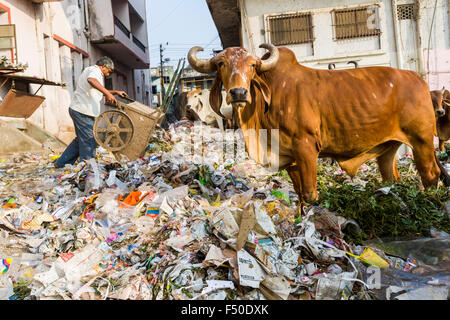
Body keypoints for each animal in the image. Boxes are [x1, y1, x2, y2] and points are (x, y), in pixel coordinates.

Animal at [188, 43, 448, 204]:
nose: (239, 93)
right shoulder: (290, 159)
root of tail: (419, 81)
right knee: (391, 178)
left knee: (431, 175)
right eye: (221, 64)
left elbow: (310, 194)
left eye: (253, 65)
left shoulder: (306, 148)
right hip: (388, 148)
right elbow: (300, 195)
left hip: (422, 141)